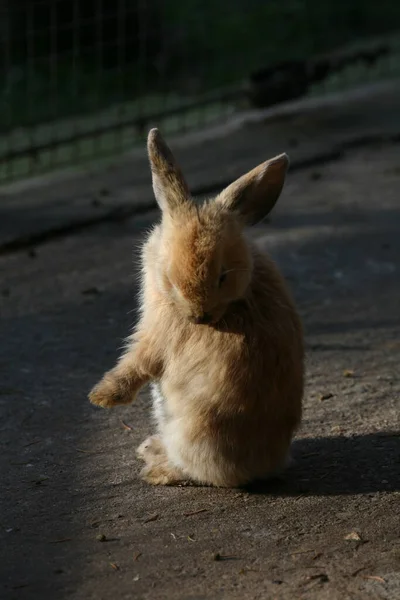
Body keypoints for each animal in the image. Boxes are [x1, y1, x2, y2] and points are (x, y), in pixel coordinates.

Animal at [90, 127, 304, 488]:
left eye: (223, 276)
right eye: (170, 276)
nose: (199, 317)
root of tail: (267, 465)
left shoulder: (158, 334)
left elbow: (136, 363)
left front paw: (101, 397)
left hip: (189, 432)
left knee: (197, 472)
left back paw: (156, 467)